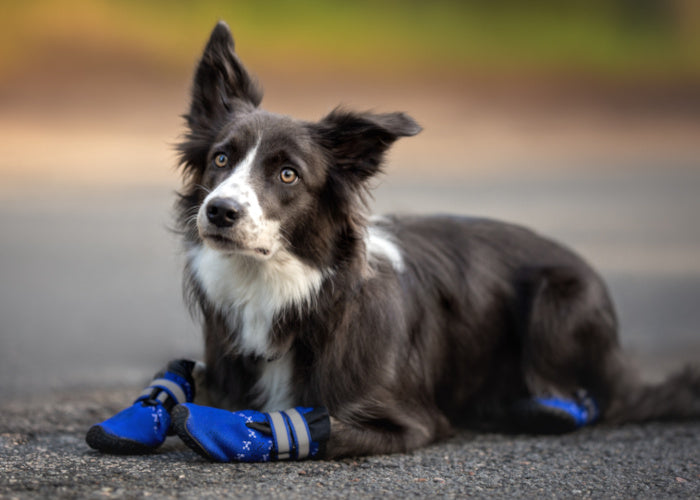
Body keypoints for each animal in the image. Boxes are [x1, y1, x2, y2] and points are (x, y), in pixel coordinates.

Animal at [89, 22, 700, 460]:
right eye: (220, 159)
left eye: (288, 174)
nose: (219, 211)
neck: (284, 288)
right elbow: (188, 387)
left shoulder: (407, 420)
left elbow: (325, 427)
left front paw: (232, 429)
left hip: (561, 298)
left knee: (583, 400)